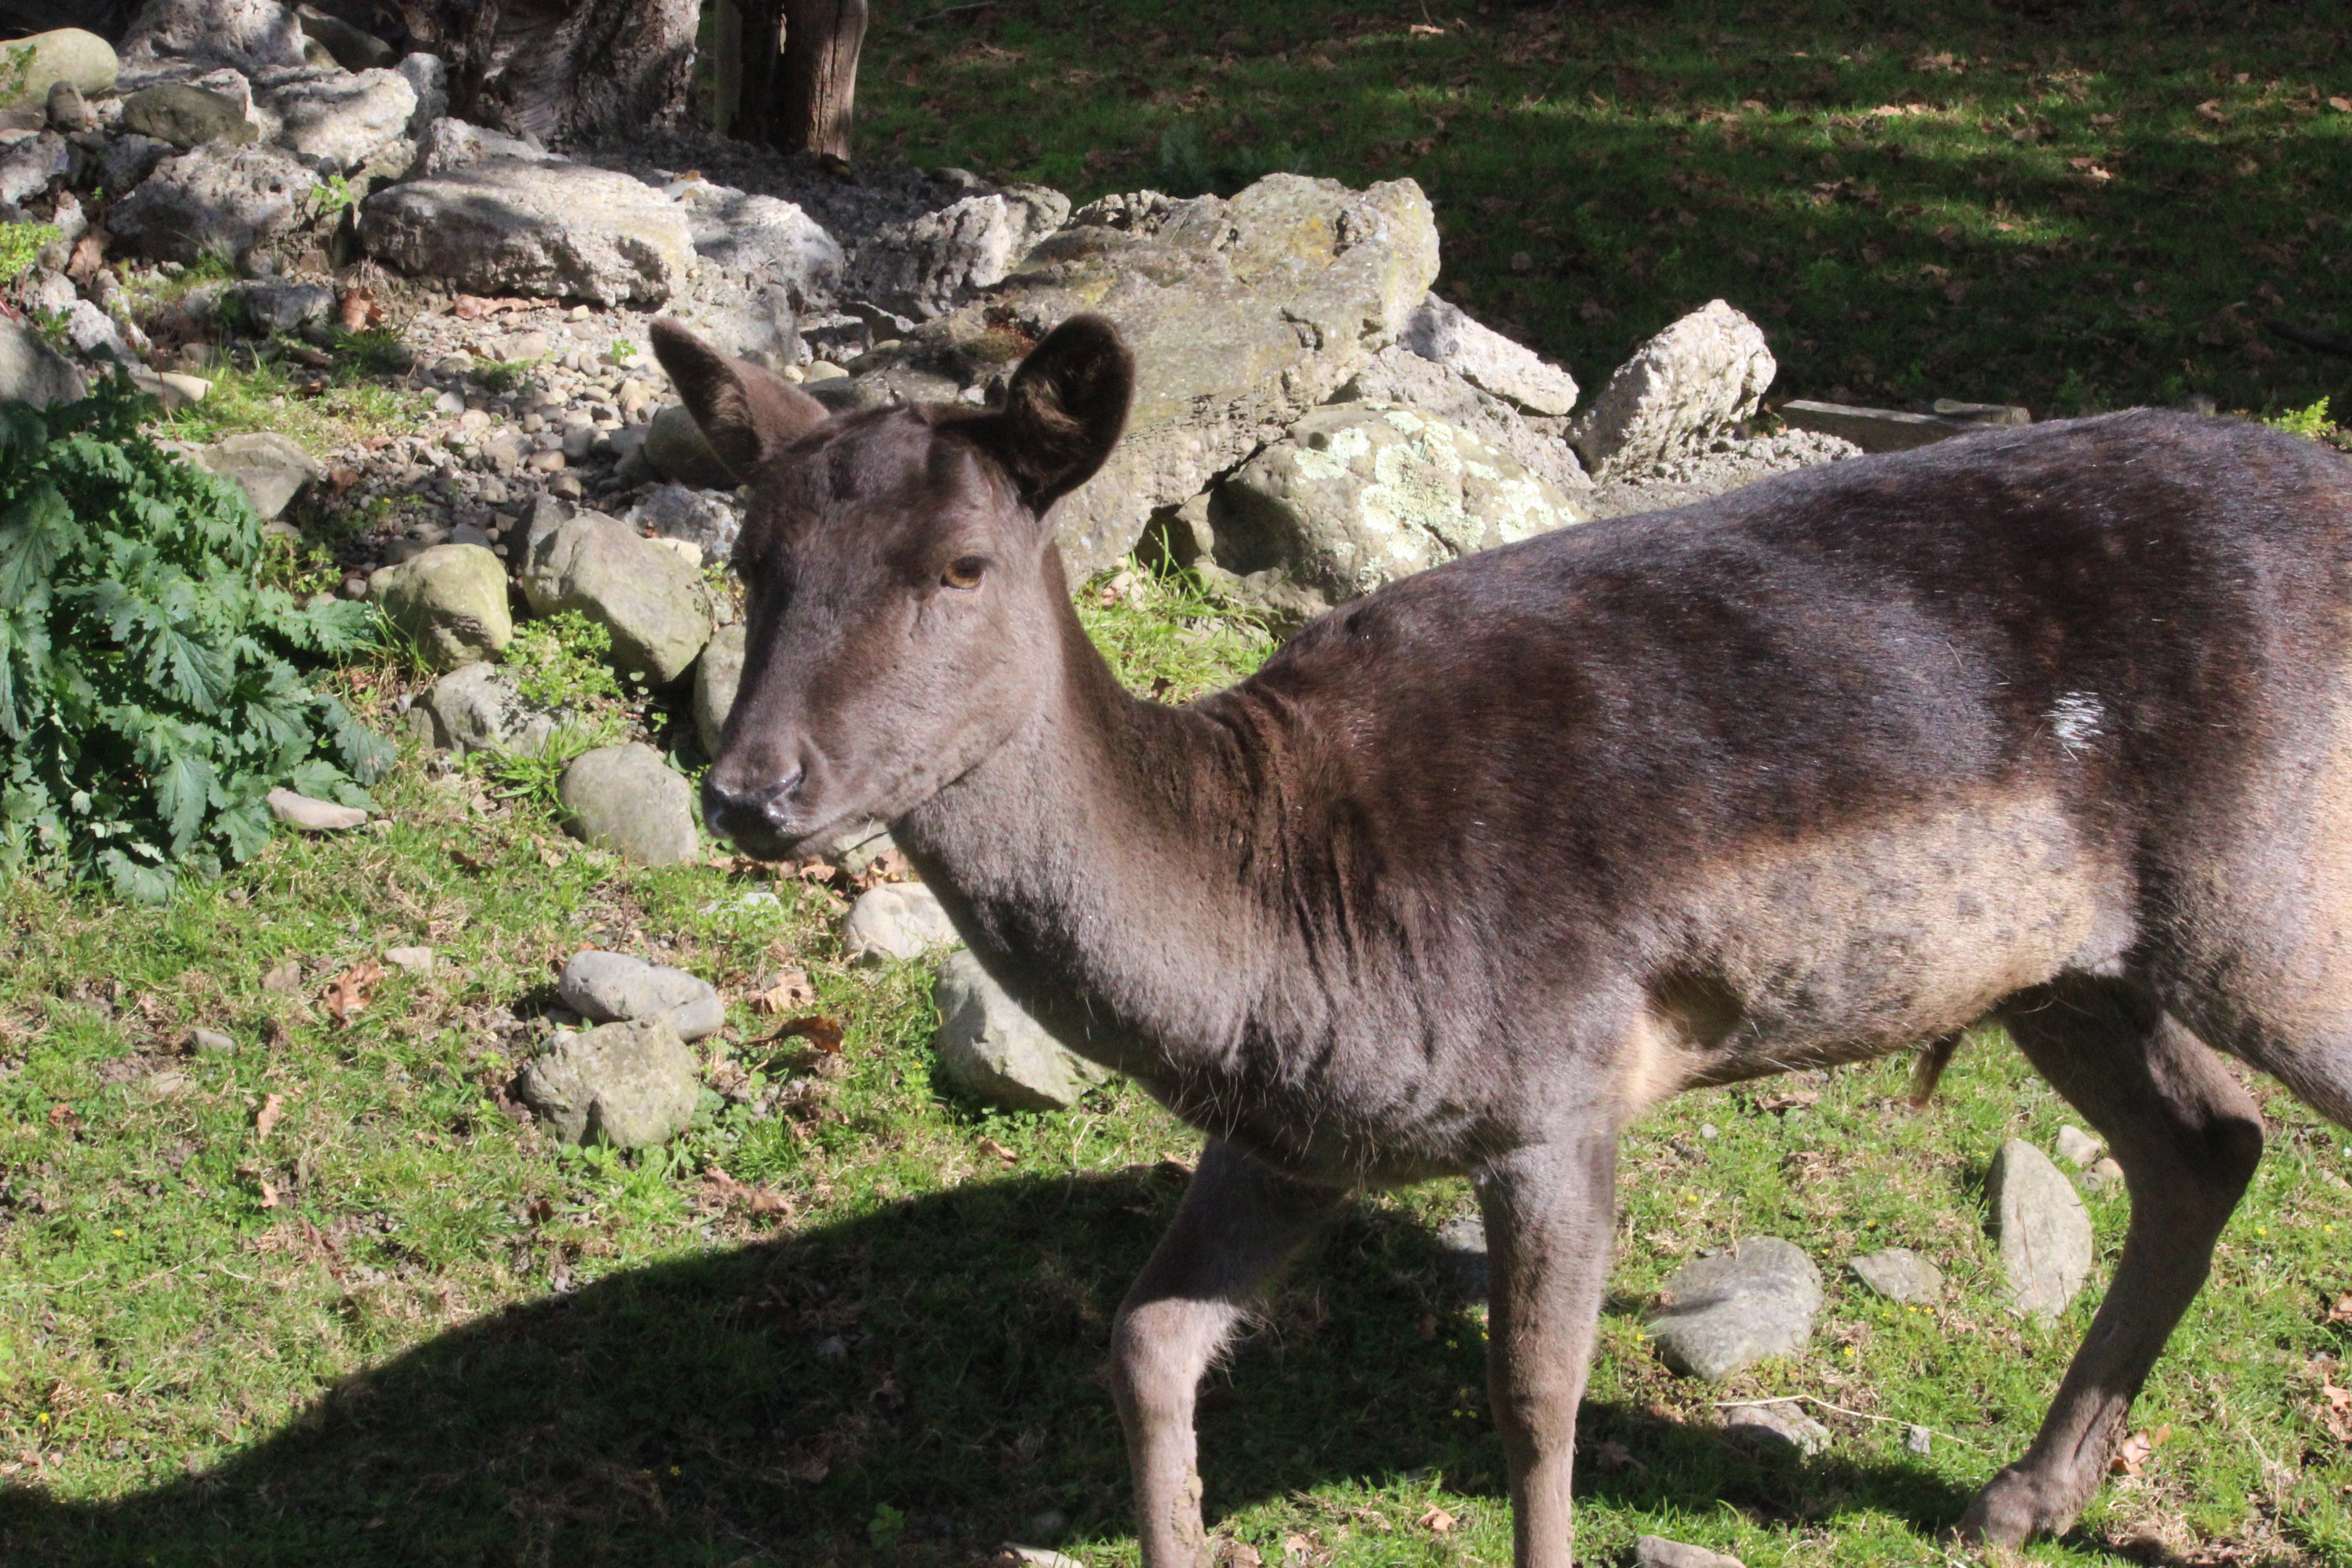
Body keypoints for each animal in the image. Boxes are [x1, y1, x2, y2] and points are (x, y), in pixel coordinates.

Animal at [650, 309, 2352, 1566]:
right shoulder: (1299, 1133)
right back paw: (2020, 1497)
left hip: (2273, 904)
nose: (751, 789)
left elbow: (1536, 1400)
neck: (1285, 928)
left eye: (962, 565)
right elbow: (1146, 1339)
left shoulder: (1559, 1083)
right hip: (2071, 970)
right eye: (749, 558)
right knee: (2209, 1143)